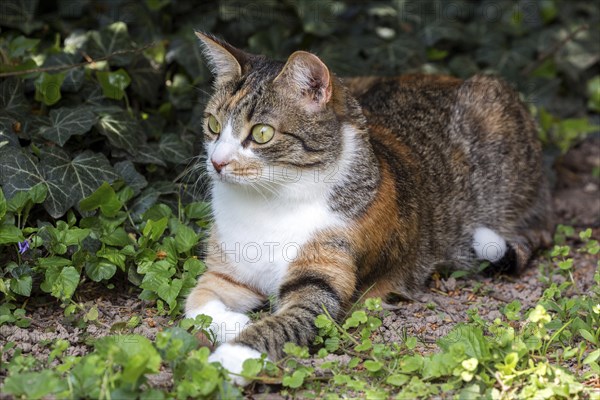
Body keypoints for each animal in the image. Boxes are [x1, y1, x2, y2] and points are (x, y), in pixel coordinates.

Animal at [185, 32, 552, 384]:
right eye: (213, 125)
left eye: (262, 133)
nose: (217, 162)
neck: (269, 202)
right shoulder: (227, 270)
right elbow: (197, 301)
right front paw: (236, 322)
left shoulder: (321, 282)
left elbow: (282, 325)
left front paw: (231, 358)